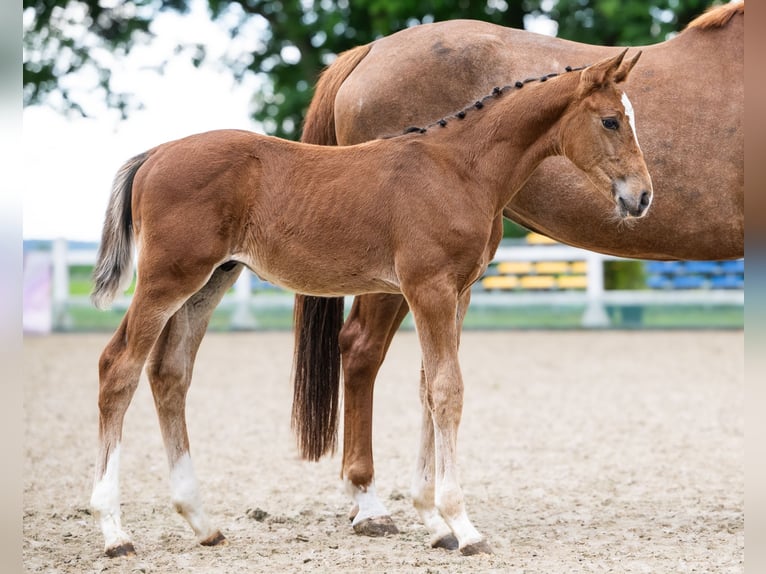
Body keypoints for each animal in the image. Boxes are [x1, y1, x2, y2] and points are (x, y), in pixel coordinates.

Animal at [89, 51, 650, 557]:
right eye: (610, 120)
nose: (642, 197)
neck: (460, 169)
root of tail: (155, 154)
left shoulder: (457, 291)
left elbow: (428, 389)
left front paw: (436, 524)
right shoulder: (429, 288)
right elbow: (447, 390)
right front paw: (463, 527)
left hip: (210, 281)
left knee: (170, 373)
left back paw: (202, 523)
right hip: (167, 279)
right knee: (119, 367)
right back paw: (115, 533)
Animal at [293, 2, 743, 542]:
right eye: (611, 121)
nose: (643, 196)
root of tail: (367, 52)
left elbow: (434, 382)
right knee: (362, 349)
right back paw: (371, 504)